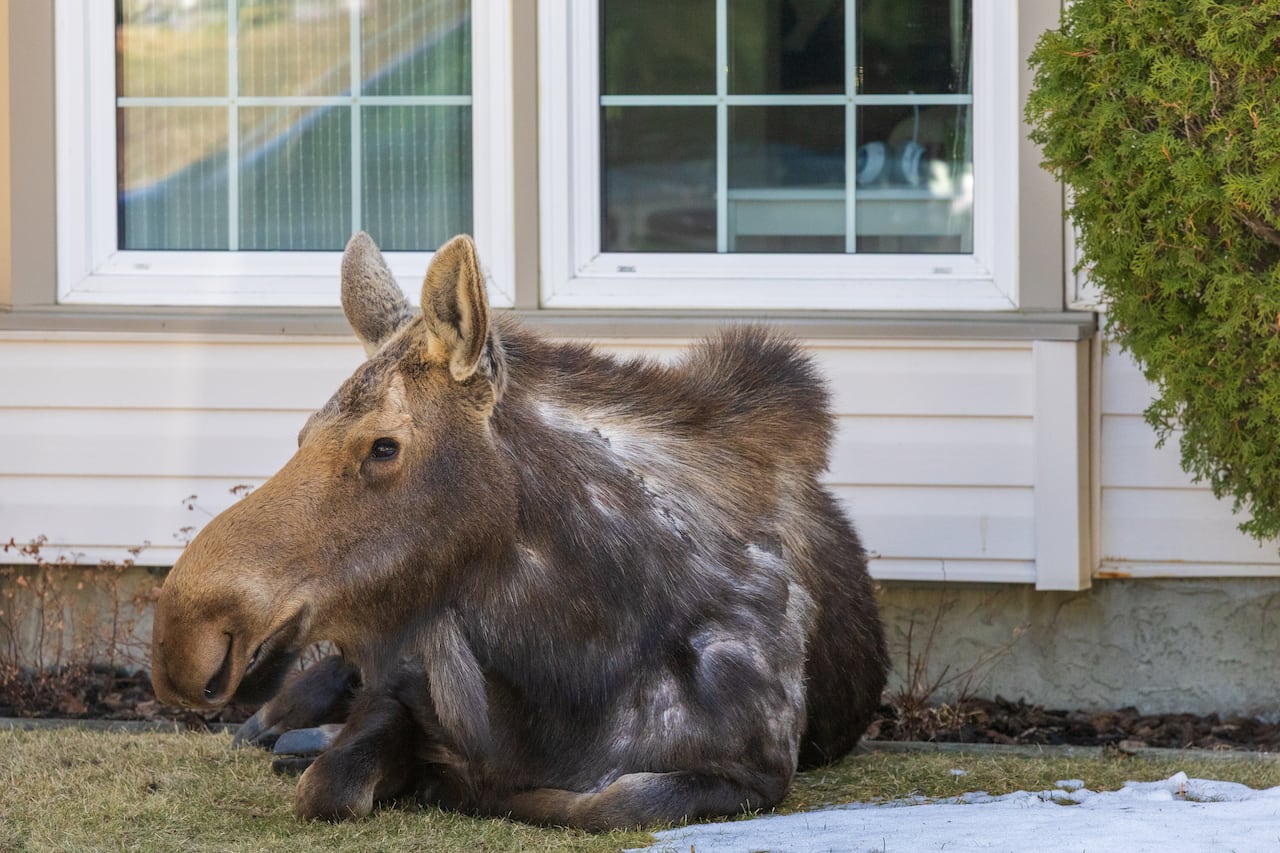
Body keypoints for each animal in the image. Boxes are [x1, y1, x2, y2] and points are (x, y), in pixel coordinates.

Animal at [149, 231, 888, 830]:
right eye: (302, 434)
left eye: (383, 446)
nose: (185, 636)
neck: (572, 654)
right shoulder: (401, 687)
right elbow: (330, 786)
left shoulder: (757, 770)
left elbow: (607, 800)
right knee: (261, 729)